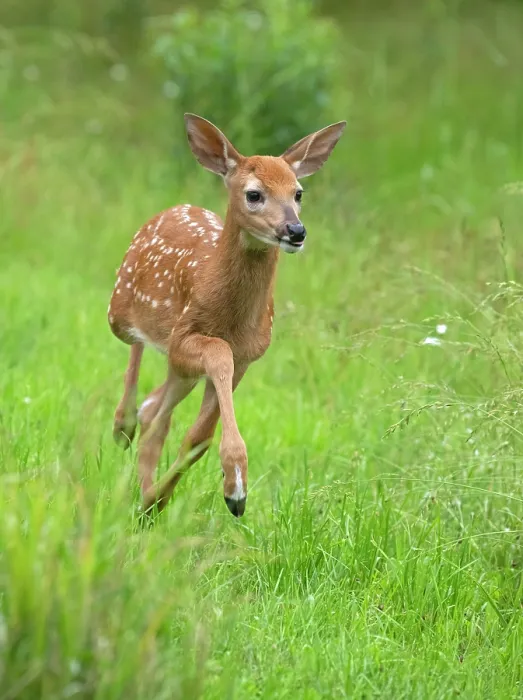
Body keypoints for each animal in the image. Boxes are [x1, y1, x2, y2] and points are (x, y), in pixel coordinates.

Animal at [108, 113, 346, 518]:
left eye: (298, 193)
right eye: (254, 194)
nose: (295, 230)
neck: (232, 318)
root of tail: (172, 209)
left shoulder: (248, 355)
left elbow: (198, 437)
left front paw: (161, 500)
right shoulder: (187, 337)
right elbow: (217, 355)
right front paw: (235, 485)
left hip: (181, 369)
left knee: (156, 411)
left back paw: (144, 486)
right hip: (119, 309)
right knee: (136, 350)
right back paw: (122, 425)